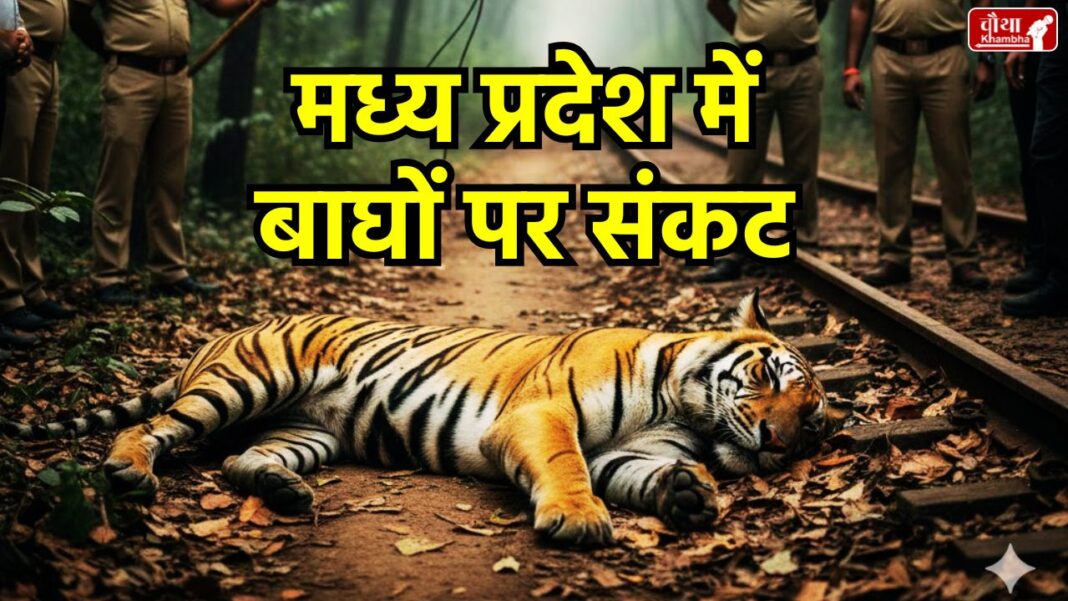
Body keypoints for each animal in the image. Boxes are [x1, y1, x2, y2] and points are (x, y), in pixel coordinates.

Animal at [2, 290, 840, 546]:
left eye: (813, 417)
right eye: (769, 374)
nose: (776, 441)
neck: (685, 403)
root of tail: (220, 334)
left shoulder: (630, 451)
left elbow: (640, 473)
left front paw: (688, 492)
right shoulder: (541, 413)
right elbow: (568, 465)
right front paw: (577, 519)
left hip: (308, 429)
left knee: (242, 458)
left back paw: (285, 493)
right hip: (251, 380)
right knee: (157, 427)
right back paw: (125, 468)